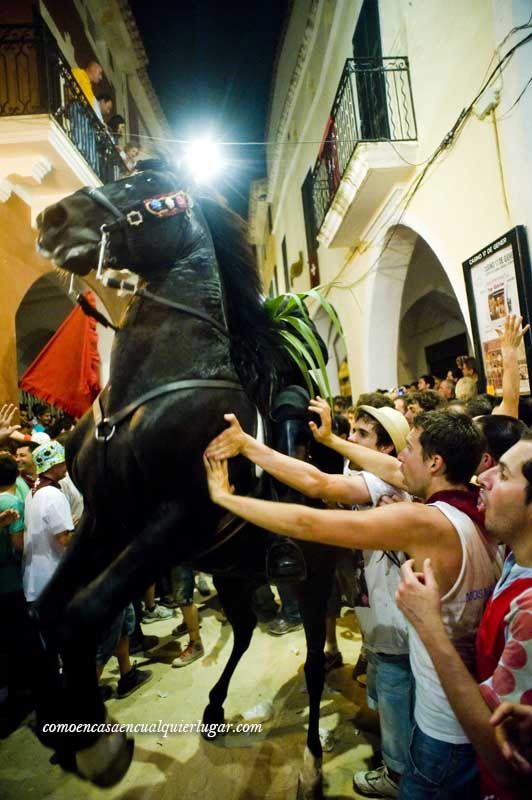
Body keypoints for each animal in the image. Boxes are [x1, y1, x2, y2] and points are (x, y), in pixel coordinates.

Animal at [35, 164, 336, 800]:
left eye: (149, 187)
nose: (52, 218)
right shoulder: (106, 519)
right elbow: (46, 613)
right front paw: (59, 725)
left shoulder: (178, 517)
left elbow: (82, 612)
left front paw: (98, 745)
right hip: (230, 569)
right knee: (243, 630)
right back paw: (216, 708)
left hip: (313, 573)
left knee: (312, 658)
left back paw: (312, 761)